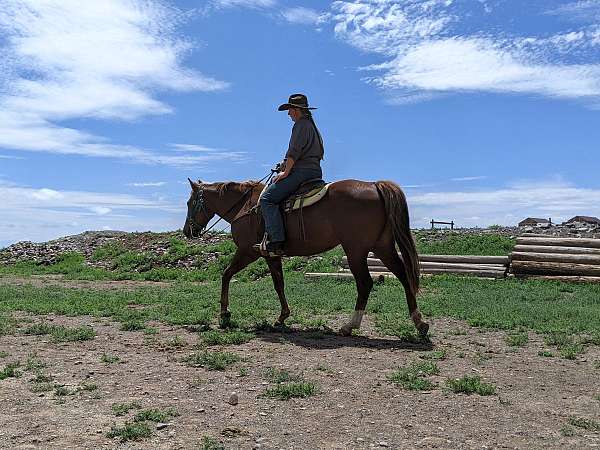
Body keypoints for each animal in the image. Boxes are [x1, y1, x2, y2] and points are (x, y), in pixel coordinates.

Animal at [180, 179, 428, 338]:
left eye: (190, 203)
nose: (187, 231)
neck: (246, 206)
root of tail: (374, 185)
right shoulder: (270, 254)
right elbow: (279, 283)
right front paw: (282, 317)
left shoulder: (248, 251)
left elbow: (226, 274)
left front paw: (224, 313)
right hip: (382, 247)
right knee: (404, 276)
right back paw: (419, 322)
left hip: (356, 251)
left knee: (365, 283)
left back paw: (350, 326)